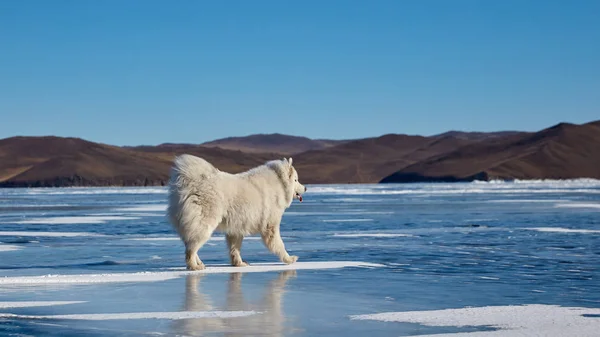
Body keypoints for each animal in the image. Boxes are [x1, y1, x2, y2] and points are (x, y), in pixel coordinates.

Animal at [166, 154, 308, 270]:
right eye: (296, 180)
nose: (306, 188)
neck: (280, 183)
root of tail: (190, 181)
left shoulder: (237, 224)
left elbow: (235, 247)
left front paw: (239, 263)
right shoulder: (270, 223)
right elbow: (277, 243)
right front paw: (289, 259)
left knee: (189, 242)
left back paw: (199, 263)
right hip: (205, 219)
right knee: (192, 245)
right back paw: (194, 266)